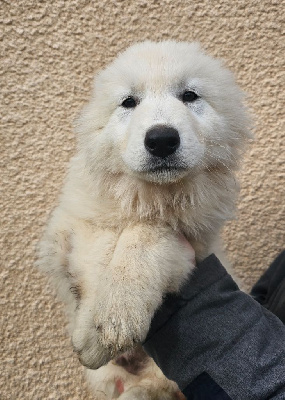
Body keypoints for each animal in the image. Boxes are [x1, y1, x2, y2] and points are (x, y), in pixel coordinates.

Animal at [36, 42, 250, 398]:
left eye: (190, 95)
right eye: (128, 102)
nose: (162, 139)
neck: (152, 197)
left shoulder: (191, 242)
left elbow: (145, 237)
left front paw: (114, 319)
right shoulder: (73, 226)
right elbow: (103, 251)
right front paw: (95, 329)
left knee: (159, 385)